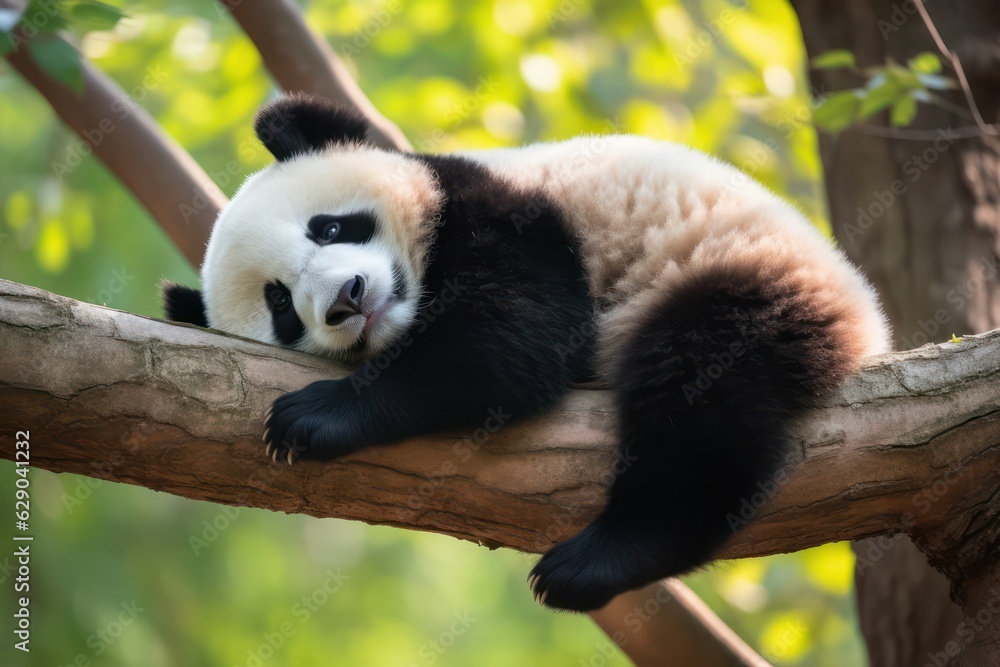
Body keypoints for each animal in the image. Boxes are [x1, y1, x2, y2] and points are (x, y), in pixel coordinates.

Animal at [163, 94, 890, 612]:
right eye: (282, 306)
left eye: (331, 227)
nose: (347, 299)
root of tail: (869, 323)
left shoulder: (509, 216)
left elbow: (511, 340)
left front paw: (316, 414)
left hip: (743, 278)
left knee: (699, 391)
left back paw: (599, 558)